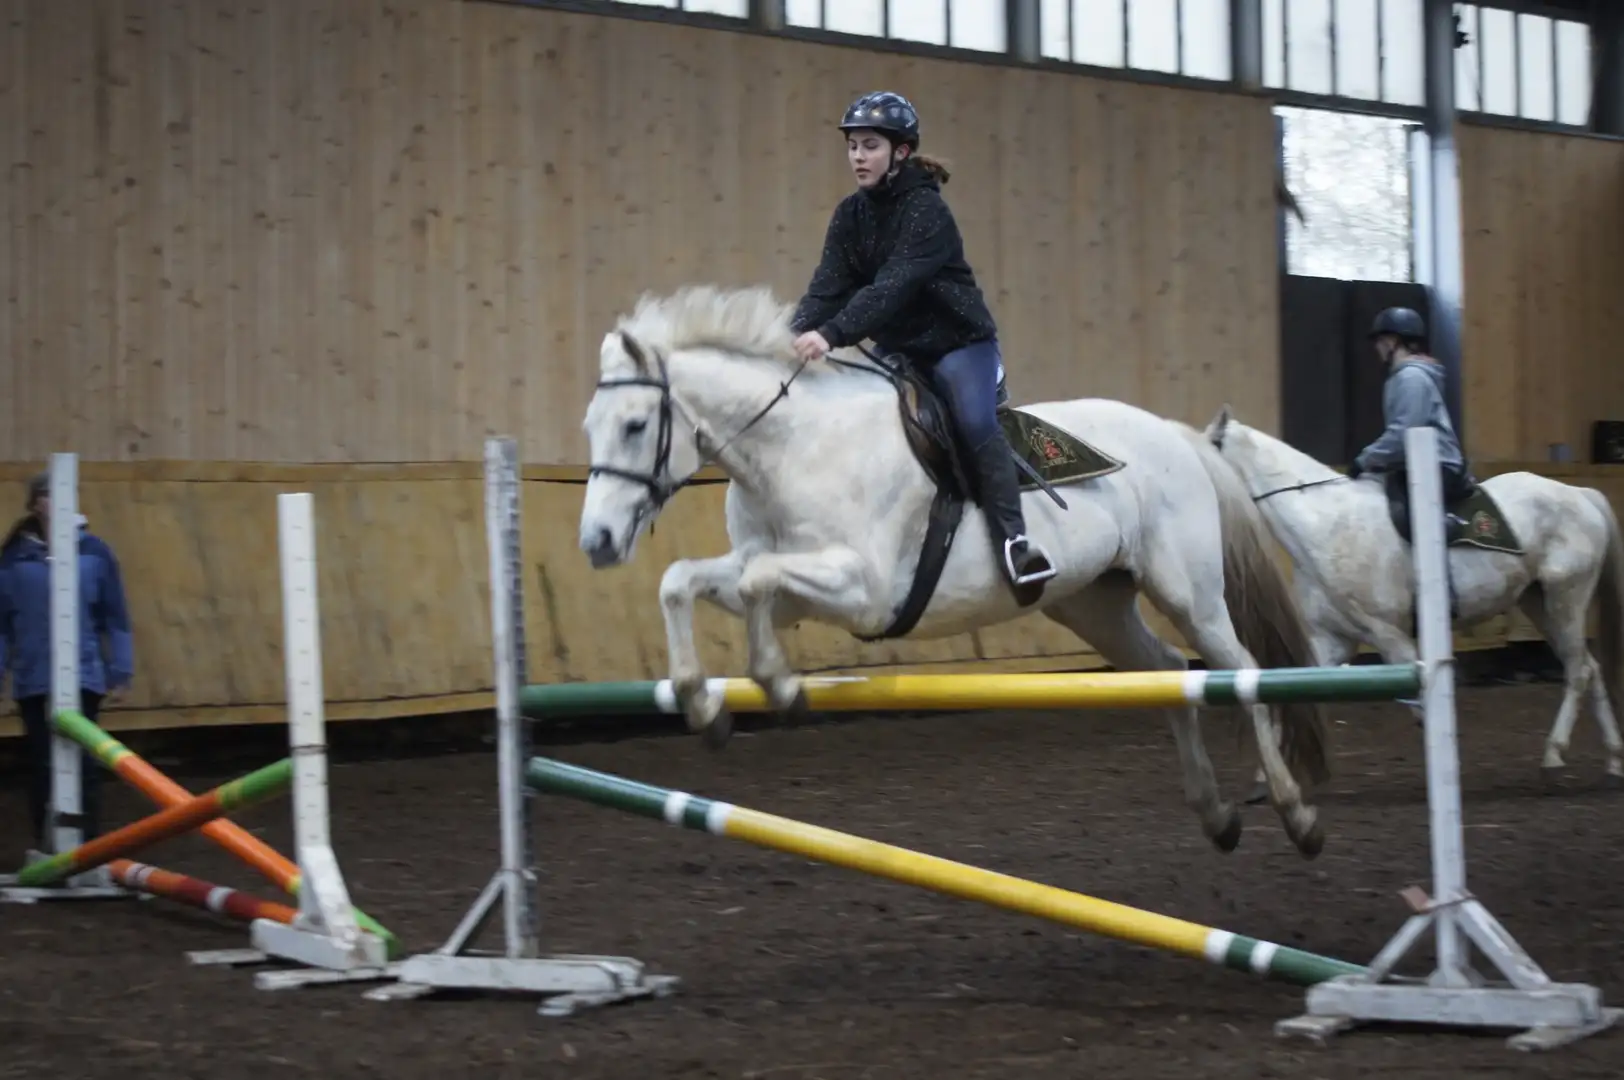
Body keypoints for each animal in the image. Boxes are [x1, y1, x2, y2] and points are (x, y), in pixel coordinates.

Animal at [578, 282, 1338, 857]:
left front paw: (778, 685)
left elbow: (757, 583)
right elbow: (686, 581)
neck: (795, 448)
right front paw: (704, 706)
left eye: (636, 426)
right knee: (1171, 676)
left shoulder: (864, 589)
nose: (598, 541)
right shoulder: (783, 581)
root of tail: (1171, 432)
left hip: (1190, 594)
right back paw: (1217, 816)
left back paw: (1298, 816)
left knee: (1241, 674)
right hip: (1094, 605)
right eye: (591, 427)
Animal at [1208, 404, 1624, 782]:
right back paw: (1613, 758)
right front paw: (1270, 775)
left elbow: (1422, 709)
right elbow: (1294, 692)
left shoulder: (1392, 638)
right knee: (1589, 667)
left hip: (1566, 599)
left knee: (1578, 670)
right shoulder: (1331, 640)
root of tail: (1581, 494)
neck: (1327, 525)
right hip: (1540, 603)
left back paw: (1555, 753)